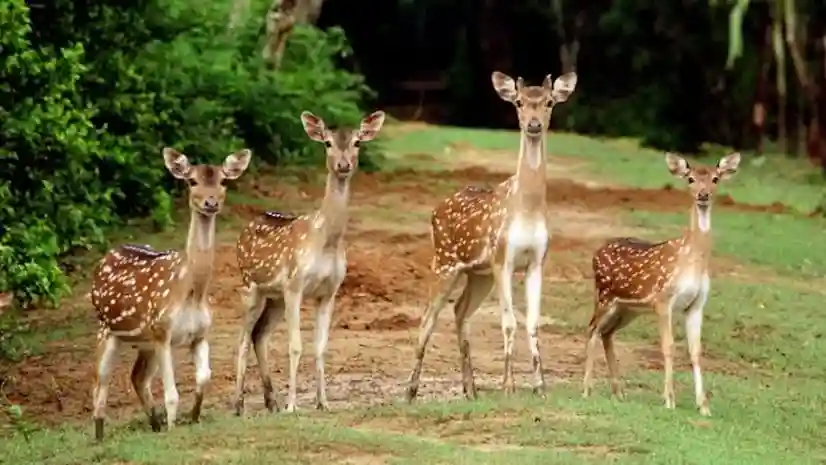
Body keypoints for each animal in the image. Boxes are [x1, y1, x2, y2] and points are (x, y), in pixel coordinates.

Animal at [90, 147, 252, 440]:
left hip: (145, 341)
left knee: (137, 377)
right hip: (108, 329)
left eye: (223, 180)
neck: (191, 293)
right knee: (100, 381)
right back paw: (99, 435)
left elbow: (204, 377)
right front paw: (173, 427)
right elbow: (172, 394)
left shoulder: (199, 334)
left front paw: (193, 417)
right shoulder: (162, 332)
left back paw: (154, 424)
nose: (211, 202)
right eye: (192, 181)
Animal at [232, 110, 385, 415]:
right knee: (243, 339)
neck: (326, 241)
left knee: (259, 335)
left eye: (357, 142)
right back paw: (240, 405)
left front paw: (322, 402)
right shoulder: (296, 285)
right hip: (251, 286)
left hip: (275, 297)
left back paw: (271, 402)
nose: (343, 164)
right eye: (327, 142)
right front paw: (293, 406)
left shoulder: (329, 291)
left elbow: (320, 346)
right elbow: (295, 345)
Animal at [405, 71, 578, 402]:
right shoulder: (502, 258)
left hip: (478, 273)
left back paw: (470, 390)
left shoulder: (537, 261)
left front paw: (540, 386)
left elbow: (533, 322)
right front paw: (508, 386)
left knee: (460, 311)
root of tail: (435, 210)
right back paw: (410, 392)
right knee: (428, 316)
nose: (533, 124)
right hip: (445, 261)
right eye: (519, 102)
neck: (527, 209)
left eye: (549, 102)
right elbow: (508, 322)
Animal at [582, 152, 741, 417]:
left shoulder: (696, 305)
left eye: (715, 179)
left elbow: (696, 351)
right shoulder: (663, 300)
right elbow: (668, 347)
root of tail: (596, 253)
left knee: (606, 332)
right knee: (592, 328)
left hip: (627, 309)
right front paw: (669, 400)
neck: (691, 261)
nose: (703, 194)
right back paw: (586, 389)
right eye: (690, 179)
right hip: (604, 296)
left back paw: (619, 392)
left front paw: (703, 406)